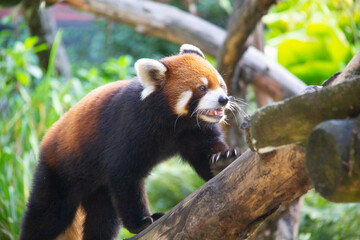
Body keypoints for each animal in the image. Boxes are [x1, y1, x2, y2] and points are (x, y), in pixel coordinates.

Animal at [19, 44, 239, 239]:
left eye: (221, 84)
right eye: (202, 88)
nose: (223, 100)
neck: (174, 122)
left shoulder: (194, 130)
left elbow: (205, 150)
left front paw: (222, 159)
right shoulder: (128, 127)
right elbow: (125, 175)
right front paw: (141, 222)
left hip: (99, 188)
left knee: (102, 218)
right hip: (59, 172)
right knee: (48, 215)